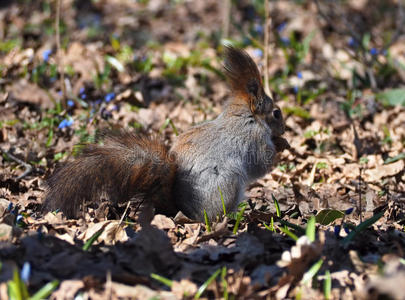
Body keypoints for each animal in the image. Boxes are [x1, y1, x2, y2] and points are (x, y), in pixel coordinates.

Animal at [42, 46, 288, 220]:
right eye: (276, 113)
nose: (285, 128)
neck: (245, 115)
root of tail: (180, 209)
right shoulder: (254, 138)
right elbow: (262, 163)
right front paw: (282, 144)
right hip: (227, 185)